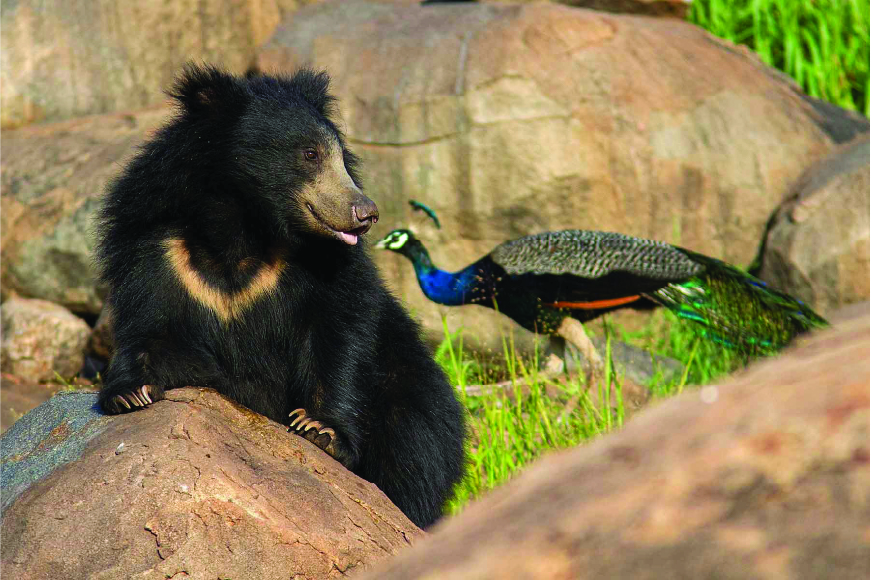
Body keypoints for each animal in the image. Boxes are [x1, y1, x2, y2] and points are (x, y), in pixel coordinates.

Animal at [95, 64, 466, 529]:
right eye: (310, 154)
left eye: (341, 156)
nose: (366, 212)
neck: (240, 227)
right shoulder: (156, 251)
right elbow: (150, 324)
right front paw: (131, 393)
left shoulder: (324, 268)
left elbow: (336, 334)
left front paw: (319, 429)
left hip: (410, 384)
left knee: (415, 444)